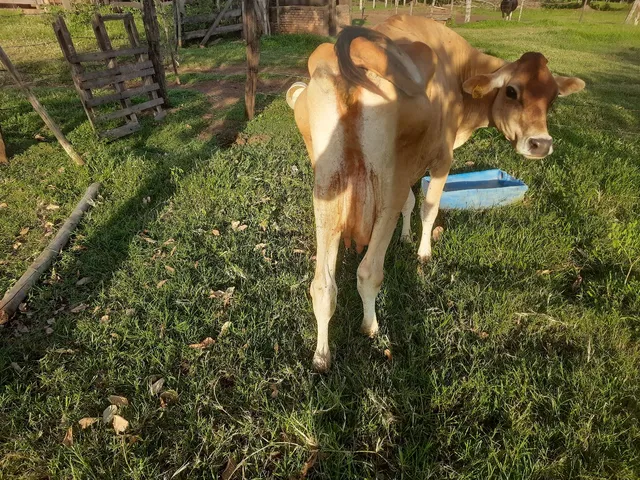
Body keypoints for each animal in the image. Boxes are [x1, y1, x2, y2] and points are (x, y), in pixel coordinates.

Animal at [286, 15, 585, 372]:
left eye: (552, 99)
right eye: (512, 91)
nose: (541, 144)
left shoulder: (411, 167)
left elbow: (411, 202)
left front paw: (405, 237)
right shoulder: (441, 157)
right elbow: (427, 206)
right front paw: (423, 251)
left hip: (326, 185)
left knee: (322, 285)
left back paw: (321, 355)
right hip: (385, 185)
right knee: (369, 272)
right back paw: (370, 327)